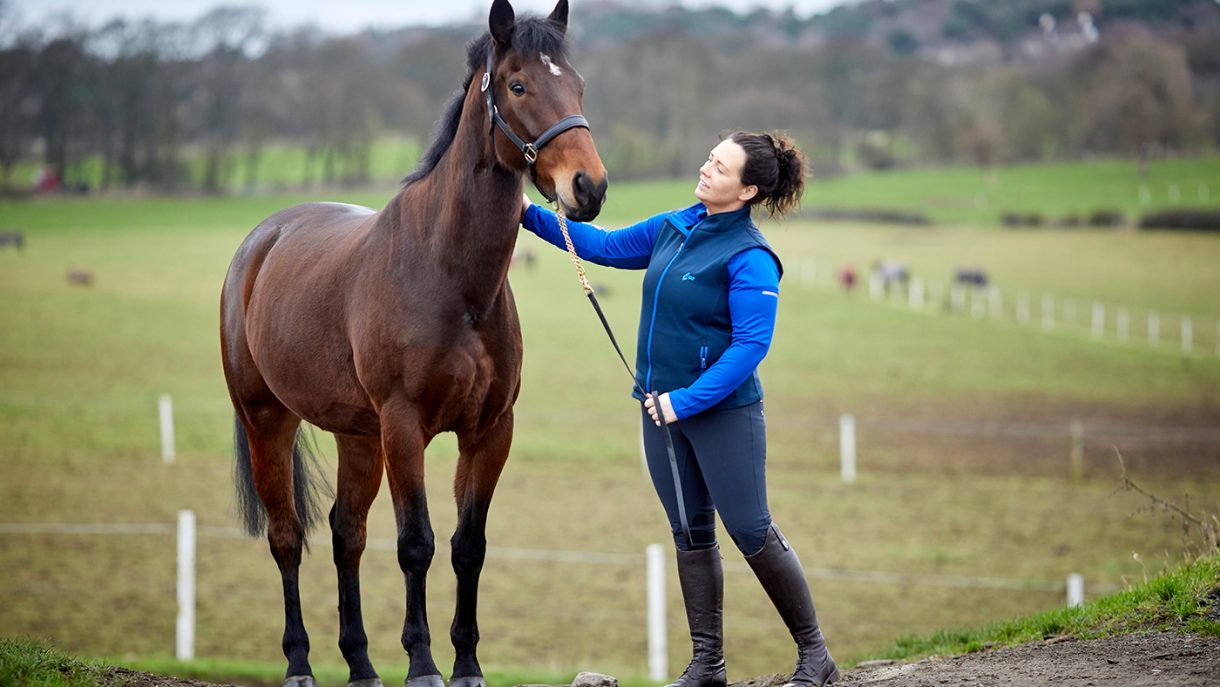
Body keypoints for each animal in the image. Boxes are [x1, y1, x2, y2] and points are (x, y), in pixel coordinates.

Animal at [218, 2, 607, 686]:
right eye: (518, 85)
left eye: (579, 84)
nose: (589, 187)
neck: (448, 275)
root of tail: (261, 240)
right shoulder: (404, 426)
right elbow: (415, 544)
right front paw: (424, 663)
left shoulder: (490, 430)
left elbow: (468, 546)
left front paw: (468, 663)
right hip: (268, 419)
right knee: (287, 536)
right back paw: (300, 662)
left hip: (356, 435)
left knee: (345, 533)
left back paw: (361, 664)